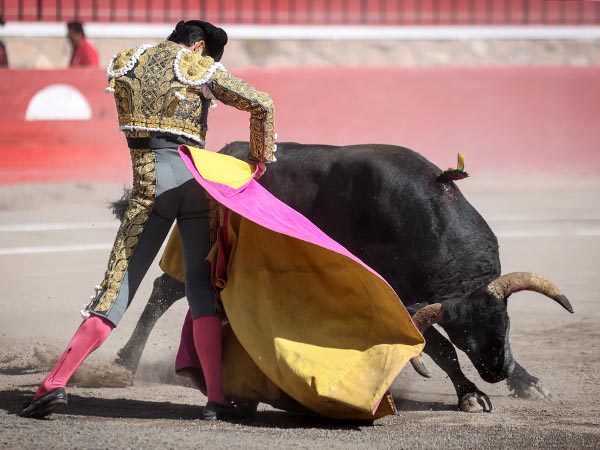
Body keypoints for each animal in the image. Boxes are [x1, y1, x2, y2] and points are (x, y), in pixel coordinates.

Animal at [111, 142, 572, 414]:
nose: (495, 372)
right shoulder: (404, 300)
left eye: (506, 323)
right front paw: (472, 394)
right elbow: (438, 348)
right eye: (466, 338)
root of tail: (221, 150)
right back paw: (125, 362)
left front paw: (528, 382)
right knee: (164, 292)